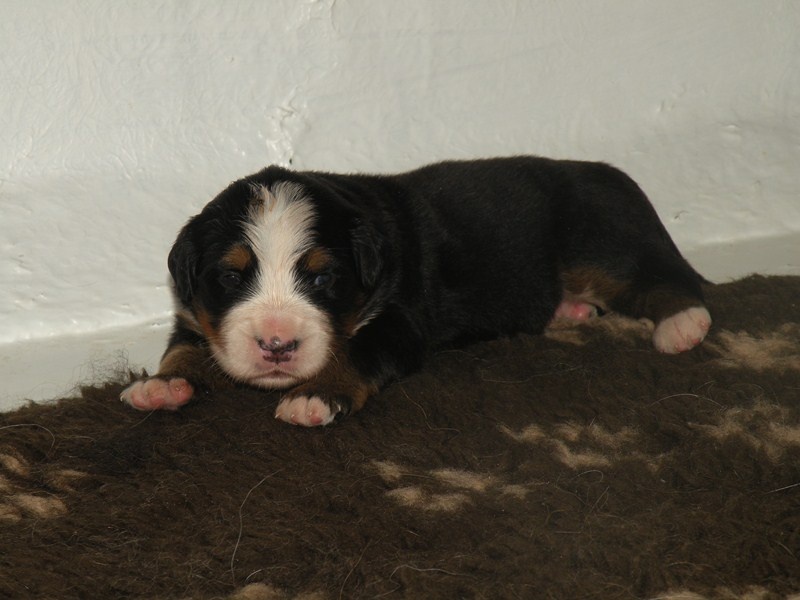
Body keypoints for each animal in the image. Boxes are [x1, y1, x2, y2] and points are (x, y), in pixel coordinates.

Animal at [120, 157, 712, 426]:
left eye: (323, 279)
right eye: (230, 277)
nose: (277, 345)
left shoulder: (397, 319)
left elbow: (354, 352)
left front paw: (315, 395)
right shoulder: (193, 315)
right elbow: (183, 348)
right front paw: (162, 385)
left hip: (600, 240)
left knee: (667, 280)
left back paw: (683, 325)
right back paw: (570, 311)